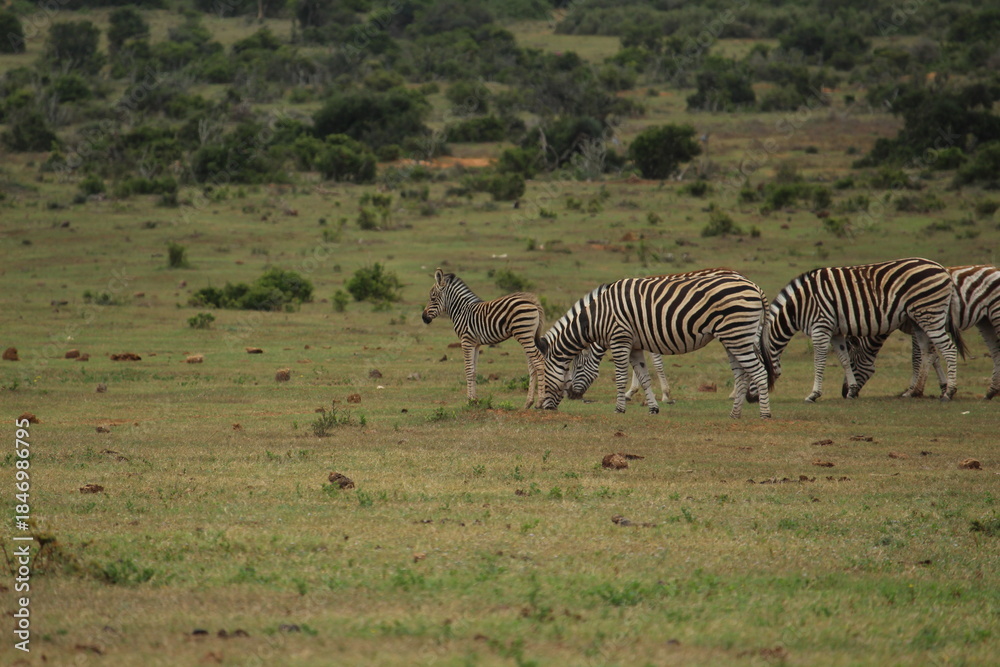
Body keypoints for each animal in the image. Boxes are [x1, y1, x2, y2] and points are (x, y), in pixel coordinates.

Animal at [421, 268, 548, 409]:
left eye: (432, 297)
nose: (423, 318)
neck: (461, 311)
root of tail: (532, 301)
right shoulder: (475, 344)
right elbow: (474, 370)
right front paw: (475, 400)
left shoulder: (466, 341)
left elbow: (468, 370)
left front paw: (469, 401)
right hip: (528, 336)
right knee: (532, 365)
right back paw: (528, 403)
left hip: (524, 334)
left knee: (538, 361)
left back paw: (540, 401)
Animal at [541, 271, 775, 418]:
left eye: (578, 367)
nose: (544, 408)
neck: (599, 316)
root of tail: (754, 286)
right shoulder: (635, 345)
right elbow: (644, 377)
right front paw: (653, 408)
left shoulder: (620, 339)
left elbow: (620, 377)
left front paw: (619, 408)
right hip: (733, 338)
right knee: (742, 374)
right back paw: (734, 414)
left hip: (738, 334)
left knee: (759, 371)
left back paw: (764, 413)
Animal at [765, 257, 966, 403]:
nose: (758, 398)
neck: (799, 306)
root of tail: (942, 269)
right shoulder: (836, 331)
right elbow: (843, 359)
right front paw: (851, 391)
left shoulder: (820, 326)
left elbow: (819, 361)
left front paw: (813, 394)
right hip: (919, 320)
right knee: (927, 353)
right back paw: (915, 392)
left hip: (929, 315)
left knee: (948, 349)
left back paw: (948, 392)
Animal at [842, 265, 999, 399]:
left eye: (852, 364)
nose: (844, 393)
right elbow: (934, 357)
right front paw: (943, 387)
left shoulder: (917, 327)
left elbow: (917, 358)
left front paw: (912, 390)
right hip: (985, 319)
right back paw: (991, 392)